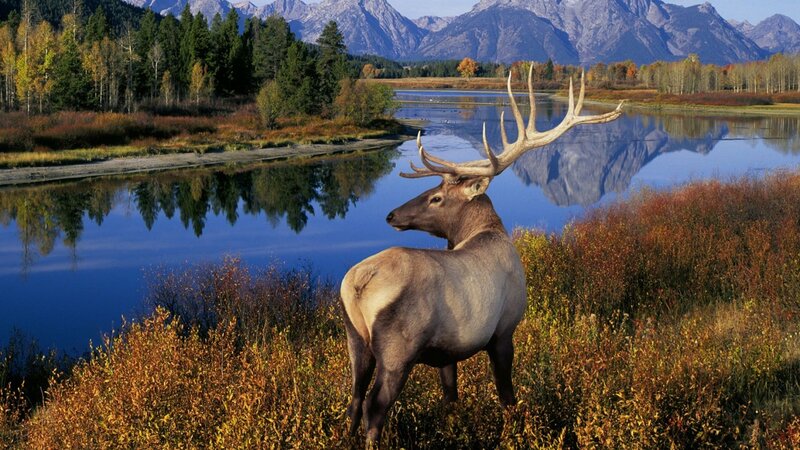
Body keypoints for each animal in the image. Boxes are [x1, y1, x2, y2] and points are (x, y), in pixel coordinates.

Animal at [340, 67, 624, 447]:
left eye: (436, 197)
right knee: (375, 406)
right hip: (398, 350)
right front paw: (514, 432)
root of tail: (358, 283)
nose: (391, 215)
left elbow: (451, 397)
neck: (487, 231)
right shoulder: (504, 330)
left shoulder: (446, 352)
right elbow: (507, 396)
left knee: (355, 399)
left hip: (356, 339)